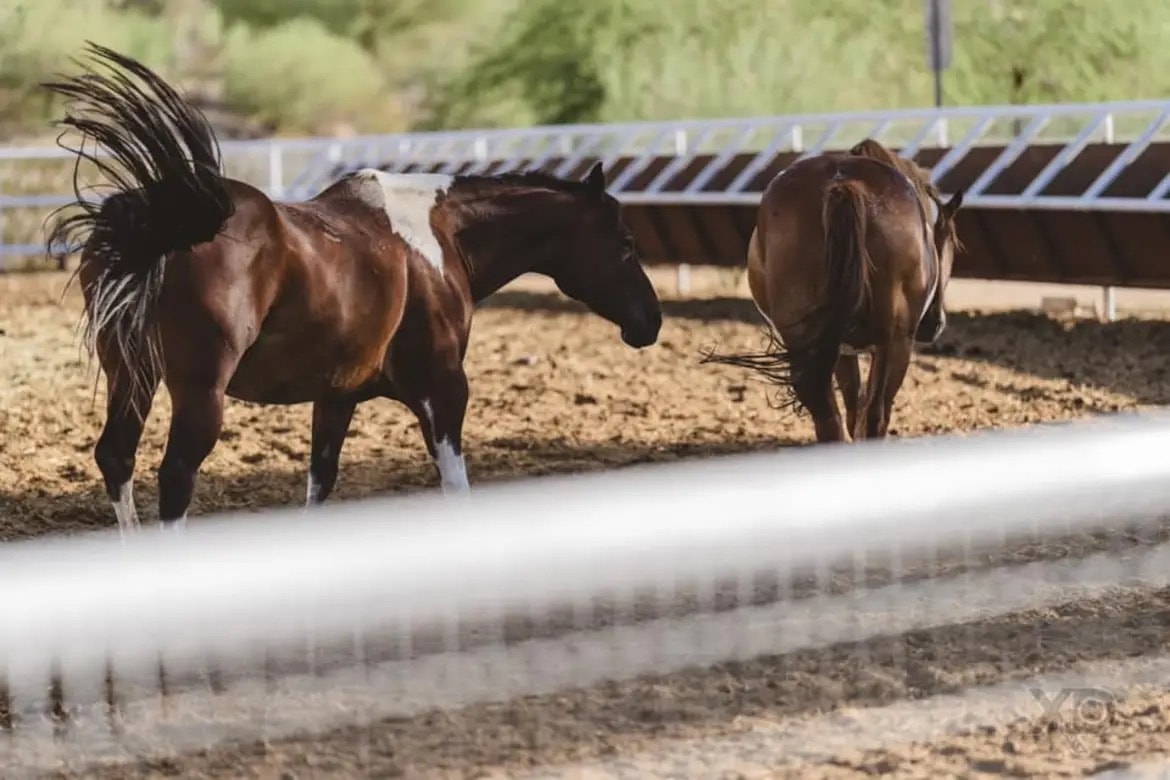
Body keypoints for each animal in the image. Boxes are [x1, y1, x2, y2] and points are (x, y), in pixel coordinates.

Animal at [42, 42, 662, 534]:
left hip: (132, 374)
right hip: (197, 392)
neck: (439, 239)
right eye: (626, 242)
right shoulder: (444, 390)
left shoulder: (335, 397)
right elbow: (455, 488)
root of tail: (171, 217)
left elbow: (320, 484)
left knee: (117, 459)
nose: (650, 321)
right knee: (174, 478)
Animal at [702, 138, 964, 443]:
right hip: (894, 343)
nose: (934, 324)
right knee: (873, 417)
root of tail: (841, 185)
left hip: (811, 342)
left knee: (829, 417)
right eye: (948, 242)